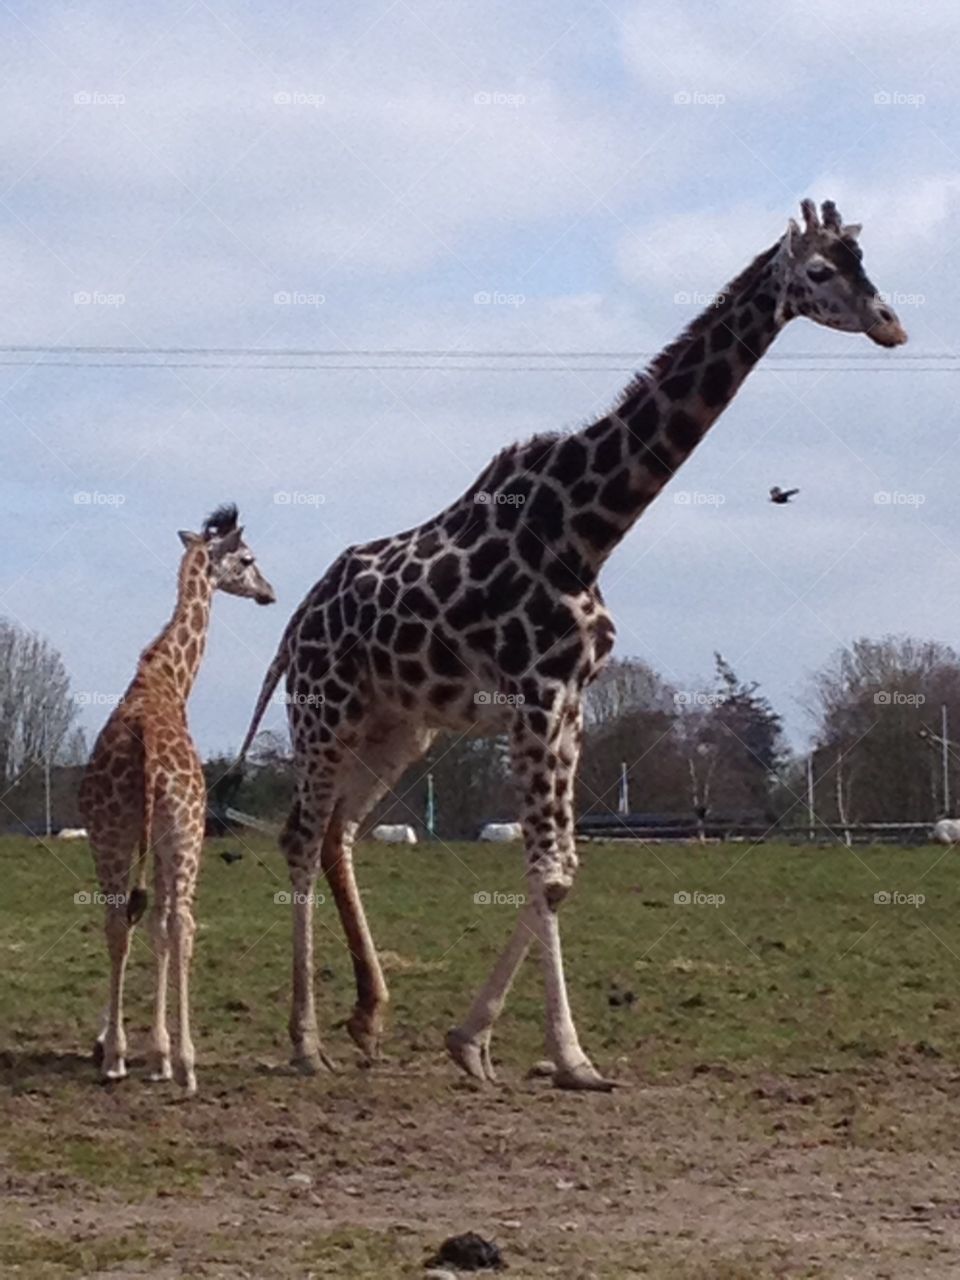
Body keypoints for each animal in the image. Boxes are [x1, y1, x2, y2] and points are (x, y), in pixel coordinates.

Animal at [79, 504, 276, 1095]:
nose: (270, 592)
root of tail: (144, 748)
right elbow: (169, 928)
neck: (167, 677)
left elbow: (145, 924)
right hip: (185, 835)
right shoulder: (174, 839)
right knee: (181, 924)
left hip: (109, 835)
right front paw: (166, 1056)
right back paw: (187, 1064)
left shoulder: (136, 840)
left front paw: (135, 1048)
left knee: (117, 921)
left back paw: (115, 1056)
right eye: (248, 558)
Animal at [236, 199, 906, 1090]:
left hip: (398, 727)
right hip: (325, 711)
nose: (891, 324)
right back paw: (307, 1041)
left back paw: (368, 1020)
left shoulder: (572, 703)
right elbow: (549, 871)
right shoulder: (536, 695)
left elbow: (560, 874)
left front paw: (482, 1043)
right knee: (301, 836)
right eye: (823, 271)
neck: (587, 530)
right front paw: (558, 1054)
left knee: (342, 833)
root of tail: (295, 623)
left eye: (867, 261)